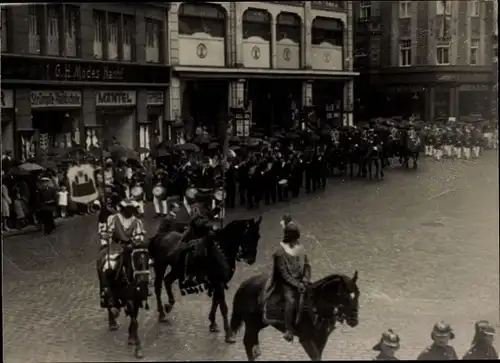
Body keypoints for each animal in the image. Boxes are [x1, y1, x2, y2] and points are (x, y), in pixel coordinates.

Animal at [229, 272, 362, 362]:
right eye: (345, 297)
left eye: (357, 295)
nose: (354, 321)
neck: (315, 308)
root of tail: (245, 284)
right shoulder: (306, 339)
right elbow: (316, 356)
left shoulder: (321, 339)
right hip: (252, 324)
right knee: (247, 341)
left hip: (259, 324)